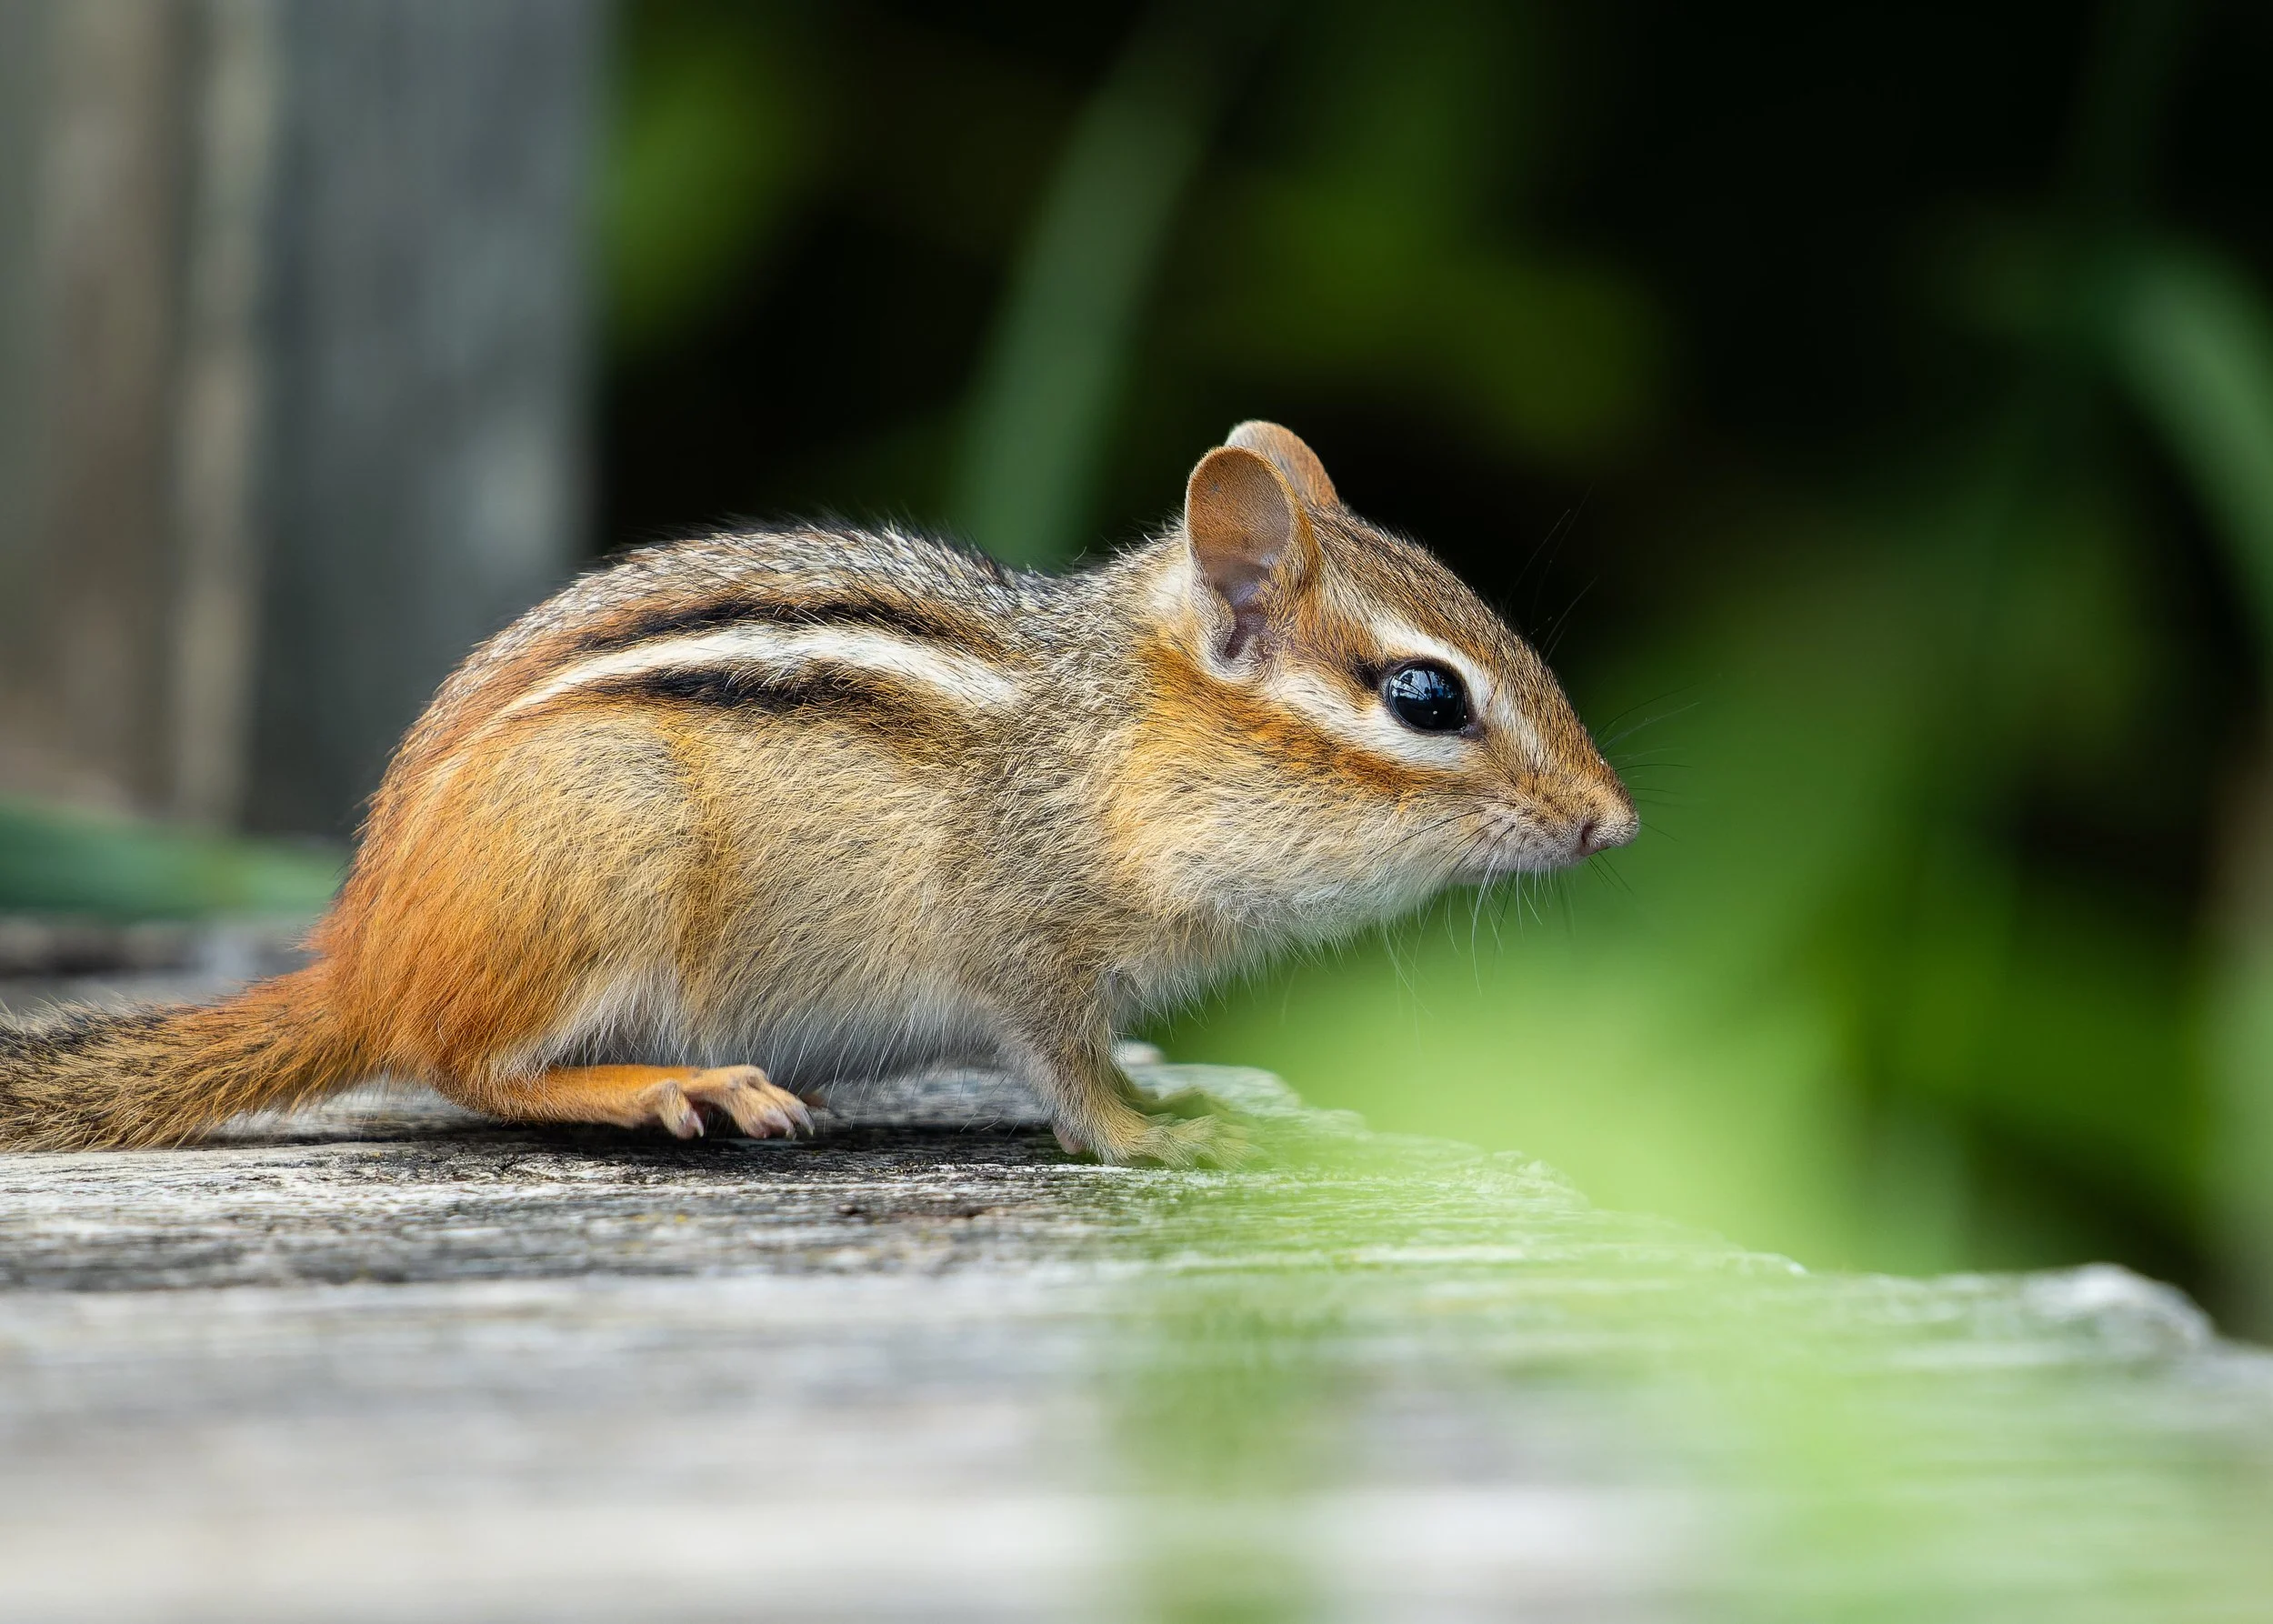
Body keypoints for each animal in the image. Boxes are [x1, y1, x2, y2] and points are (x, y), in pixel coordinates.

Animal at [0, 423, 1635, 1165]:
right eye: (1426, 698)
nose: (1612, 822)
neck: (1116, 736)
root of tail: (366, 951)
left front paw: (1169, 1091)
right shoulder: (1024, 932)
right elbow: (1064, 1068)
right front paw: (1154, 1132)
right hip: (606, 846)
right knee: (466, 1062)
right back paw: (670, 1083)